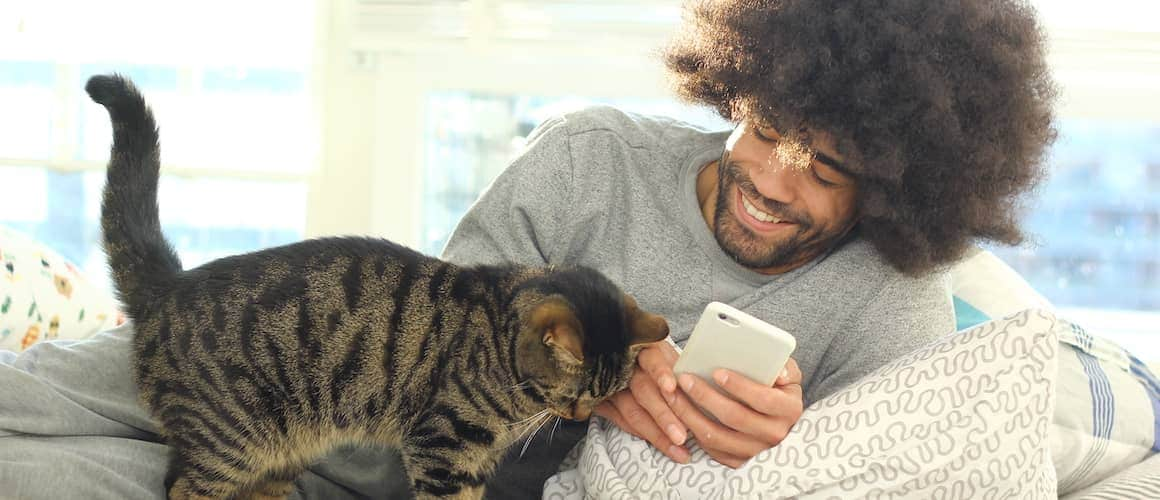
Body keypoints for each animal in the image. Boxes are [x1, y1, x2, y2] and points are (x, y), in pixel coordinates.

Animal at [85, 75, 668, 500]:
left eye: (605, 397)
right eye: (578, 394)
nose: (580, 417)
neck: (501, 355)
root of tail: (169, 284)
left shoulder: (473, 461)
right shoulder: (443, 446)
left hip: (276, 451)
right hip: (229, 442)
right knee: (182, 486)